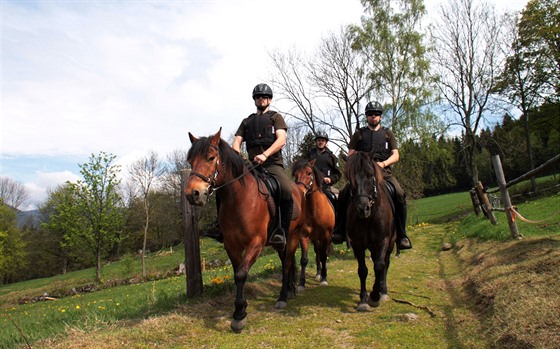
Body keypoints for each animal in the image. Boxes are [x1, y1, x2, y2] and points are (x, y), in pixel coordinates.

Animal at [184, 129, 306, 330]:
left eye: (211, 158)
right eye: (190, 161)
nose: (192, 194)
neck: (239, 199)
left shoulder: (255, 243)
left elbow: (241, 274)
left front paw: (239, 314)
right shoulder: (231, 245)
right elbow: (236, 274)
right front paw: (240, 310)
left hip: (293, 236)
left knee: (287, 263)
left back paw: (282, 297)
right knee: (285, 262)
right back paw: (288, 291)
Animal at [290, 158, 334, 288]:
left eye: (309, 173)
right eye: (295, 174)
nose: (300, 191)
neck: (315, 211)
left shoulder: (326, 235)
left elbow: (324, 256)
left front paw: (324, 279)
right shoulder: (303, 236)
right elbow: (304, 259)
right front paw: (301, 283)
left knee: (322, 252)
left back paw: (323, 274)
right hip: (314, 238)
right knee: (317, 251)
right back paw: (318, 273)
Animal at [344, 150, 396, 310]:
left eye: (370, 174)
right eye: (350, 178)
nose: (363, 208)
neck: (369, 218)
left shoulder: (383, 240)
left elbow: (379, 266)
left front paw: (374, 296)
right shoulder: (357, 244)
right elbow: (363, 270)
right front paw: (363, 299)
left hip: (391, 242)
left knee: (385, 263)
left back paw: (383, 291)